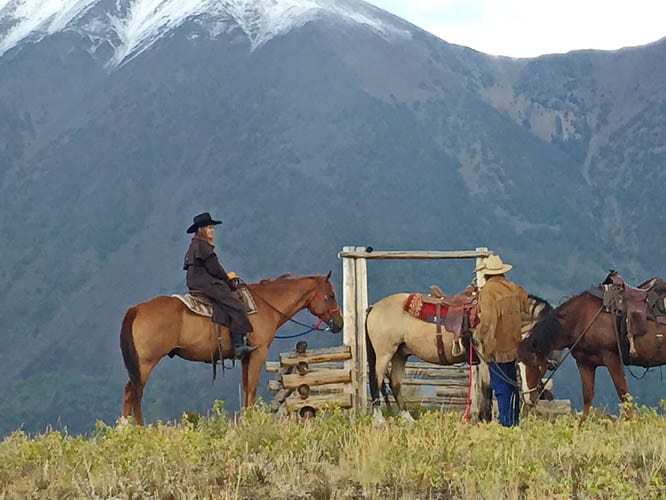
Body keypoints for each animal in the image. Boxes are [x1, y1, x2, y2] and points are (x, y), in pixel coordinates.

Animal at [118, 272, 342, 424]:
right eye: (330, 295)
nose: (339, 324)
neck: (265, 305)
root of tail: (136, 309)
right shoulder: (258, 351)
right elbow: (251, 387)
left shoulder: (245, 356)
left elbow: (246, 387)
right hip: (146, 362)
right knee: (134, 391)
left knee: (130, 391)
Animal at [364, 290, 548, 426]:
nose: (533, 397)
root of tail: (374, 307)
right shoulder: (485, 360)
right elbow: (487, 388)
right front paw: (485, 420)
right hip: (384, 353)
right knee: (376, 382)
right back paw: (379, 421)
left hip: (400, 354)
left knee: (395, 384)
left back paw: (408, 420)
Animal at [512, 280, 664, 420]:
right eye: (517, 366)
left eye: (535, 364)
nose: (528, 398)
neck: (582, 319)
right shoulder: (585, 363)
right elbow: (587, 399)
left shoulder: (612, 359)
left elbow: (623, 395)